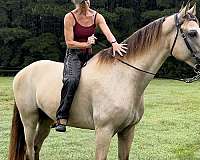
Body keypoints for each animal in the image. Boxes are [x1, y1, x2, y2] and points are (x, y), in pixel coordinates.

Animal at [8, 2, 200, 160]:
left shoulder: (128, 131)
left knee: (36, 148)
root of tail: (22, 72)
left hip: (45, 120)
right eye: (192, 33)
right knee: (30, 150)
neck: (124, 78)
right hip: (29, 120)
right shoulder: (104, 132)